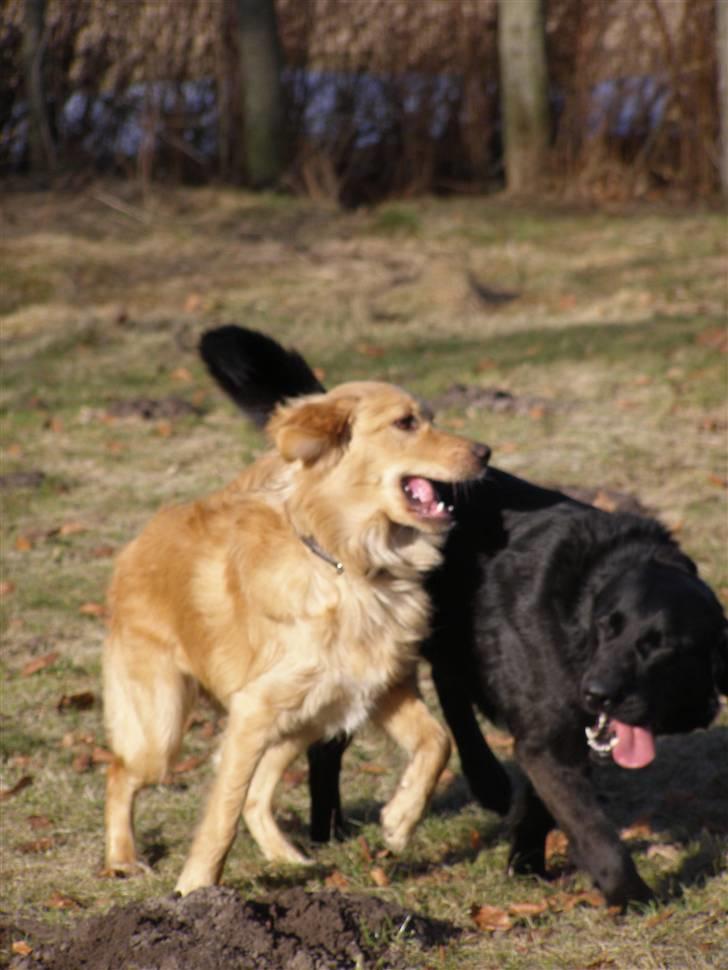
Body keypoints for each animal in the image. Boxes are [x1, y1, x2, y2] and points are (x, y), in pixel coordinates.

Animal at [104, 378, 490, 892]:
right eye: (405, 423)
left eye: (428, 418)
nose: (486, 452)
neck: (348, 564)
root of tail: (137, 542)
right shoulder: (252, 710)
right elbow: (222, 814)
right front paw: (195, 889)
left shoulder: (383, 687)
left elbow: (438, 742)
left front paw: (400, 819)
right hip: (161, 732)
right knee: (121, 774)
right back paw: (123, 858)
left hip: (307, 719)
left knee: (258, 792)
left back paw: (288, 859)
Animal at [199, 326, 728, 908]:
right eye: (606, 627)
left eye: (660, 644)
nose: (597, 693)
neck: (585, 592)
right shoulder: (551, 733)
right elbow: (593, 829)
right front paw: (629, 893)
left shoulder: (552, 731)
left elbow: (542, 801)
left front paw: (525, 860)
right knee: (336, 744)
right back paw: (331, 826)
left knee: (449, 697)